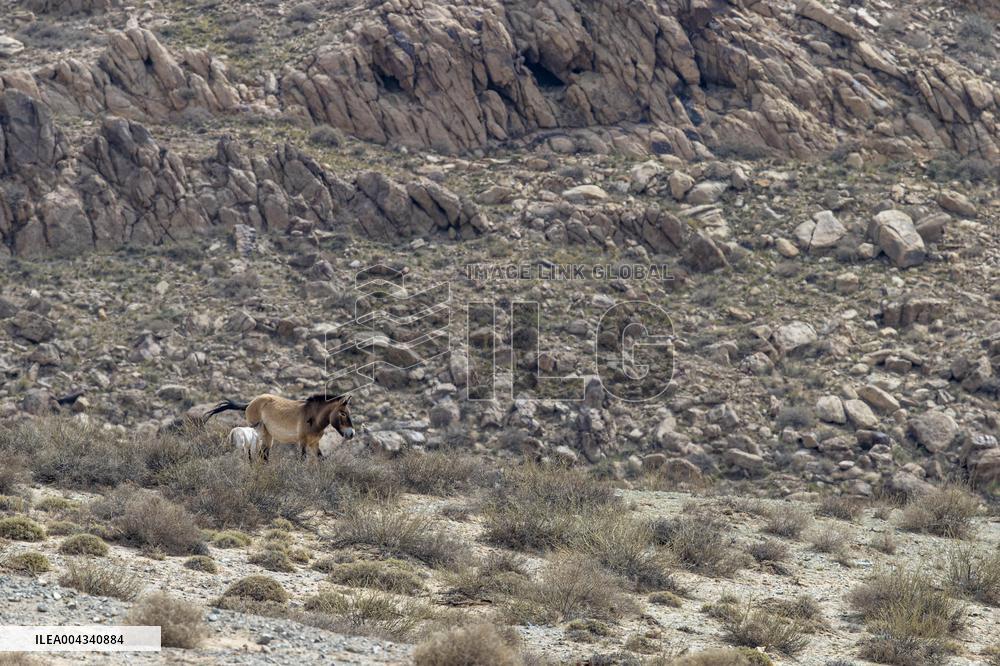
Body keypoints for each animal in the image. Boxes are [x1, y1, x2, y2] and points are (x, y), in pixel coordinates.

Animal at [204, 393, 355, 461]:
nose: (351, 433)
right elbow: (302, 459)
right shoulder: (303, 442)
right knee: (259, 454)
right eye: (342, 413)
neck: (313, 417)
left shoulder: (314, 443)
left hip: (268, 436)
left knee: (264, 455)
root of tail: (250, 403)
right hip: (259, 434)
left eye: (349, 412)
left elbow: (321, 460)